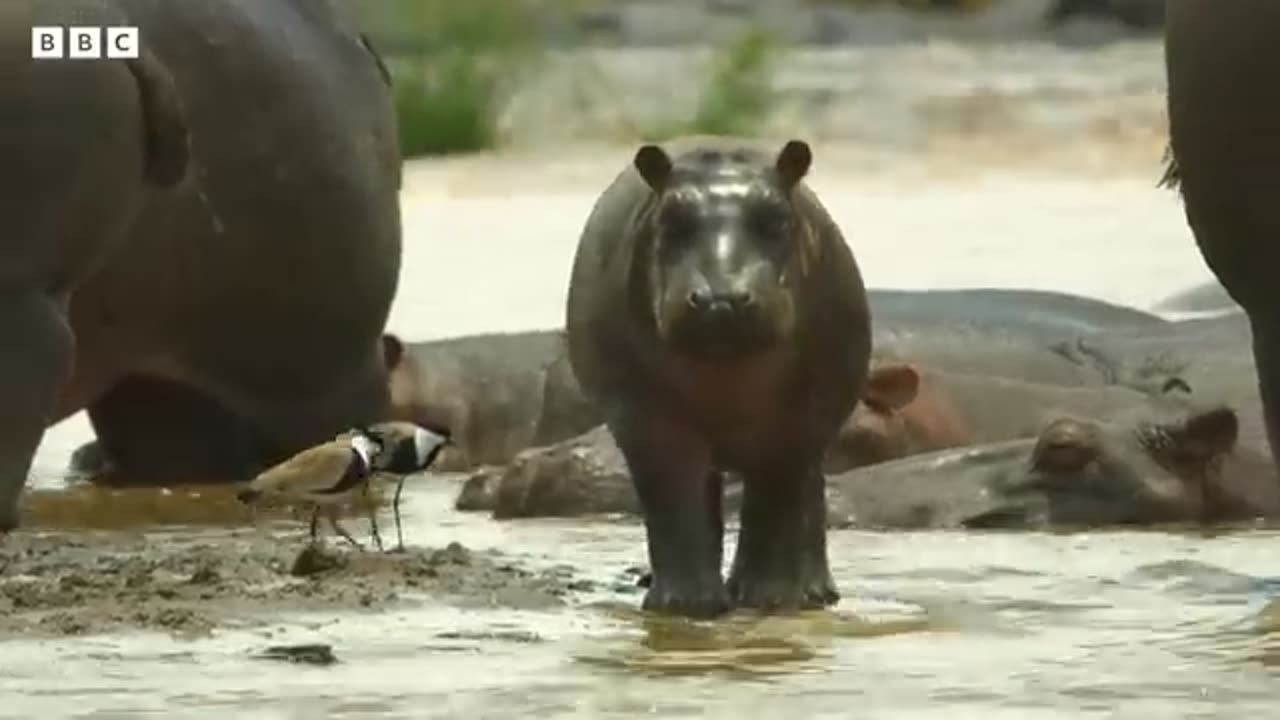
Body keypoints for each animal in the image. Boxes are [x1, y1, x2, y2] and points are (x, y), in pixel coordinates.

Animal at [568, 137, 875, 614]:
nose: (721, 298)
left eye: (777, 218)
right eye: (670, 217)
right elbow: (672, 496)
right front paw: (685, 605)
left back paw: (813, 594)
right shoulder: (645, 418)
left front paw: (770, 599)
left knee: (806, 493)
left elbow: (776, 496)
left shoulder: (797, 419)